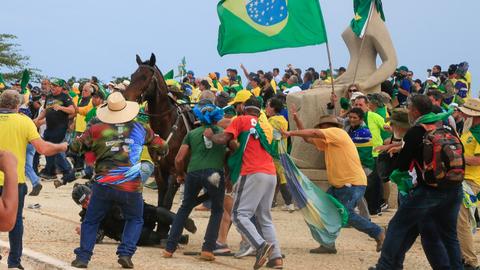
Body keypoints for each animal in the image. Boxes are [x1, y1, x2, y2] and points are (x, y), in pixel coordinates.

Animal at [124, 53, 191, 209]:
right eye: (132, 75)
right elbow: (161, 204)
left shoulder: (175, 174)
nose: (127, 99)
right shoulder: (160, 172)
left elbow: (166, 205)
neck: (168, 125)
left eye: (144, 77)